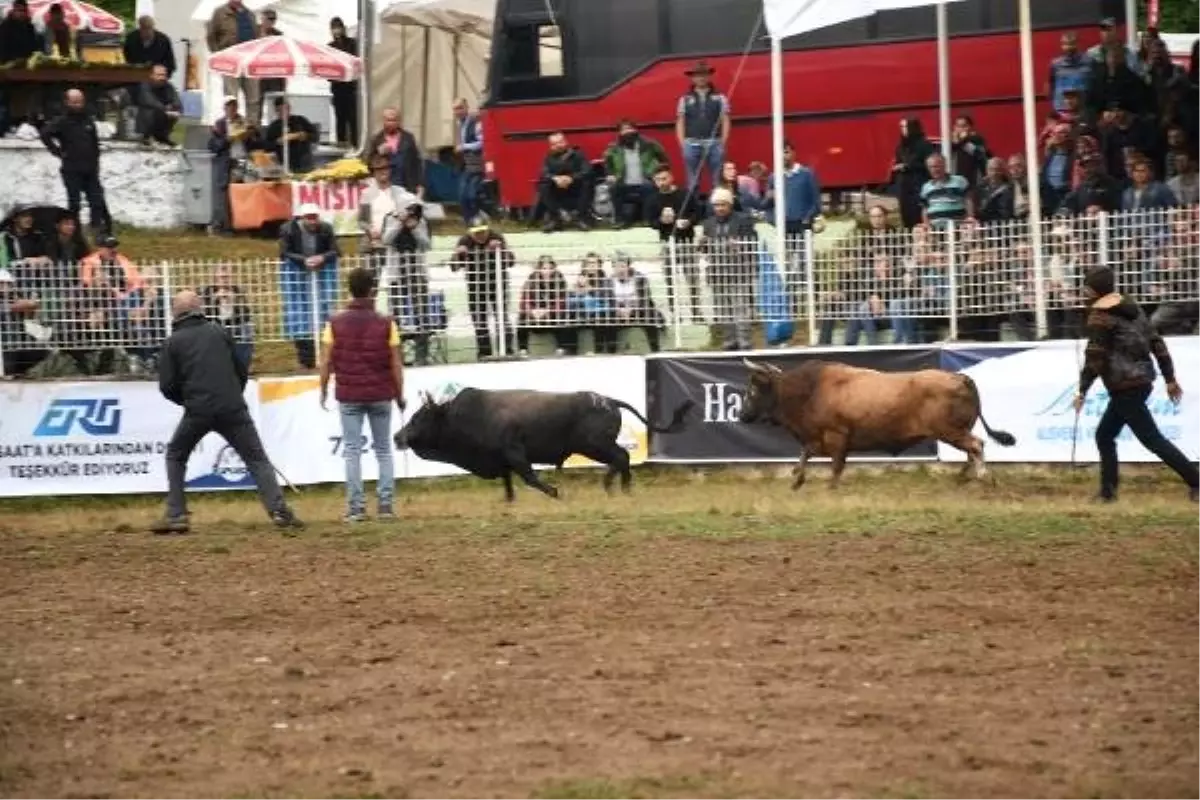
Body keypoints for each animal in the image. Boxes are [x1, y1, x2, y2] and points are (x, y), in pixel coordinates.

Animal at [393, 388, 696, 501]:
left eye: (418, 418)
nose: (397, 437)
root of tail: (608, 400)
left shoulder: (515, 453)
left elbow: (529, 477)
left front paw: (554, 492)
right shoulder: (502, 460)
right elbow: (508, 481)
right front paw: (509, 500)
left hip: (595, 445)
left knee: (621, 457)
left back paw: (615, 488)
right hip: (595, 446)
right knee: (621, 459)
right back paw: (618, 488)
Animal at [739, 357, 1012, 489]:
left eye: (752, 391)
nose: (742, 415)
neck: (810, 389)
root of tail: (960, 377)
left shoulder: (836, 437)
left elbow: (835, 466)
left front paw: (829, 487)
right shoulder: (819, 437)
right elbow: (805, 454)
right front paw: (797, 479)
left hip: (950, 431)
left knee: (976, 445)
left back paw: (984, 477)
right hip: (956, 431)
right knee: (971, 451)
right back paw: (964, 478)